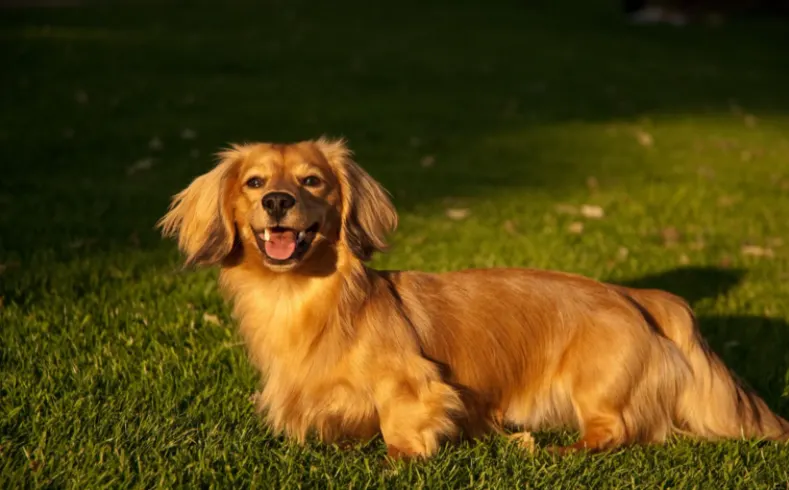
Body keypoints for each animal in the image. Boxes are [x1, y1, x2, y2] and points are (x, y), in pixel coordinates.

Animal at [157, 136, 784, 458]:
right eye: (255, 183)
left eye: (312, 181)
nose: (278, 201)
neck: (305, 299)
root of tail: (638, 299)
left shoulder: (415, 385)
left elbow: (401, 426)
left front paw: (398, 460)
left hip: (596, 384)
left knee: (615, 432)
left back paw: (552, 451)